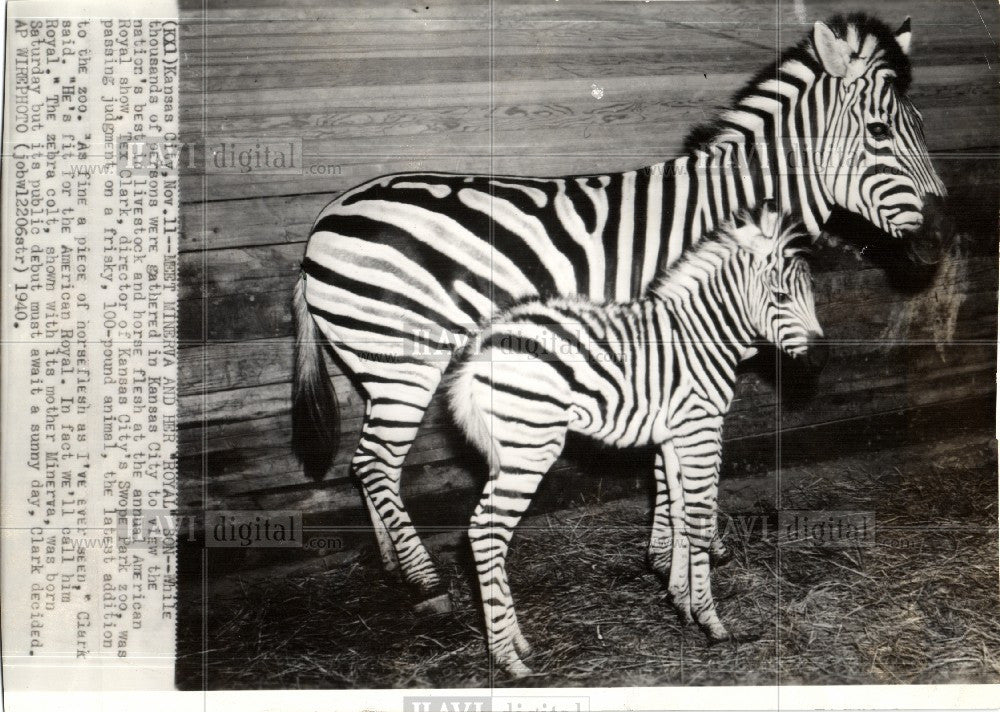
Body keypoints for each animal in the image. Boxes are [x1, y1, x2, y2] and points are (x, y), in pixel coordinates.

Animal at [294, 13, 944, 608]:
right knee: (378, 462)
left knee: (362, 463)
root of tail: (326, 217)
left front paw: (674, 551)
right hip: (403, 359)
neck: (726, 216)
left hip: (375, 365)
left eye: (919, 125)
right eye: (880, 130)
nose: (940, 240)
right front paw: (675, 557)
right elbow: (669, 462)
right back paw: (426, 583)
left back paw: (393, 567)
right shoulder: (673, 338)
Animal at [450, 203, 824, 676]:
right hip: (531, 448)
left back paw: (517, 643)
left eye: (811, 294)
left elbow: (677, 512)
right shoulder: (701, 427)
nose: (821, 361)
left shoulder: (676, 434)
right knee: (487, 532)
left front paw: (680, 601)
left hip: (509, 451)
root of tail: (484, 342)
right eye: (779, 297)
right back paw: (507, 659)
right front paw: (711, 621)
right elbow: (698, 518)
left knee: (486, 533)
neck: (702, 334)